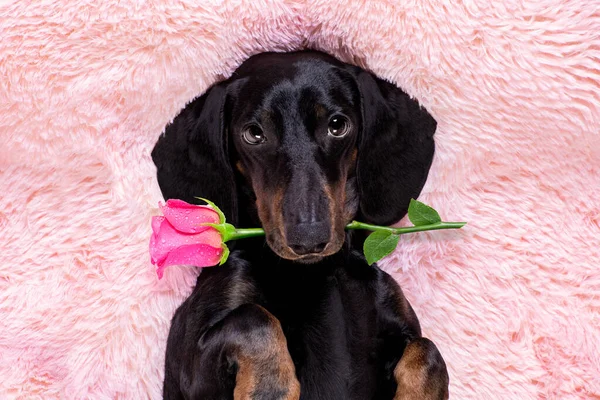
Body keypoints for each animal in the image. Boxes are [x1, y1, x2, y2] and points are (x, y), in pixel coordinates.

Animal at [152, 50, 448, 400]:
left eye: (338, 125)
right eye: (253, 134)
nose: (308, 240)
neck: (315, 270)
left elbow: (427, 350)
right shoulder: (189, 373)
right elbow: (255, 317)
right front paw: (270, 388)